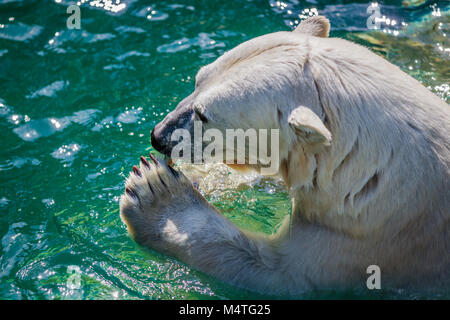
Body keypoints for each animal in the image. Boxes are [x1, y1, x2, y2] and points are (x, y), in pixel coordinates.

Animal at [119, 16, 450, 294]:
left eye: (203, 114)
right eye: (197, 80)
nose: (158, 136)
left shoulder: (366, 242)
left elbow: (274, 272)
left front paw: (156, 192)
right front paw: (203, 178)